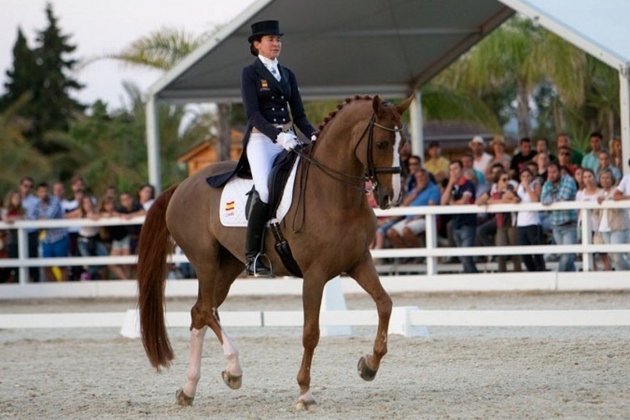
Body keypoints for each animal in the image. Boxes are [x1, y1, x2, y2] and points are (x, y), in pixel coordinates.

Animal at [138, 93, 414, 408]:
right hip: (205, 261)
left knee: (201, 312)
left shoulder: (359, 262)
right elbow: (311, 332)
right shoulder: (315, 275)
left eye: (402, 144)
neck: (333, 193)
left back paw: (190, 389)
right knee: (206, 310)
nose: (391, 196)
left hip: (228, 266)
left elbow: (385, 304)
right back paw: (233, 369)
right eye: (381, 143)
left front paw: (369, 365)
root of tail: (181, 186)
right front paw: (304, 392)